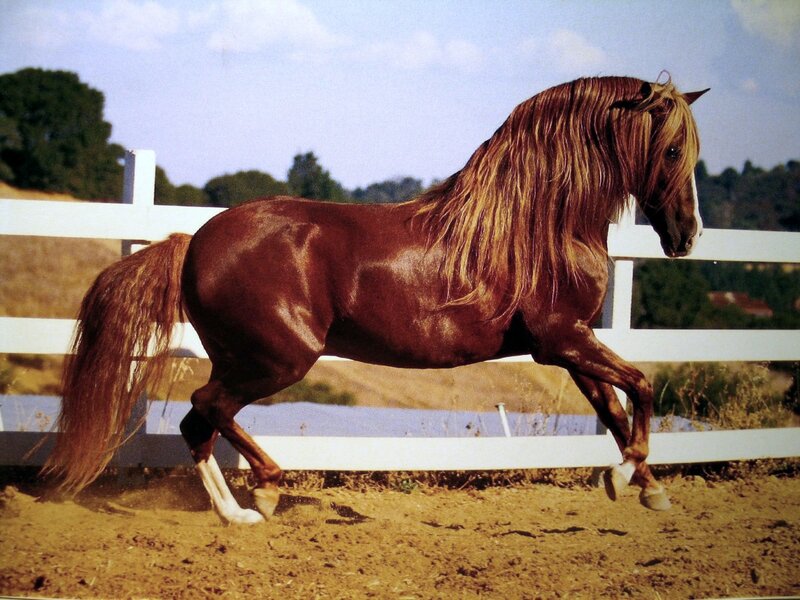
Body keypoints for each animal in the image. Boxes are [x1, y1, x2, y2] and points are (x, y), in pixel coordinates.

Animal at [44, 75, 707, 524]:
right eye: (674, 150)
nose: (686, 236)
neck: (537, 228)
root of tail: (194, 241)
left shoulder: (570, 345)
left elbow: (615, 410)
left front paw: (644, 486)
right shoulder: (563, 339)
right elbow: (643, 387)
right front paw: (626, 478)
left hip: (245, 357)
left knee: (202, 419)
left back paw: (248, 502)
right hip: (279, 358)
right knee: (204, 410)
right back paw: (259, 498)